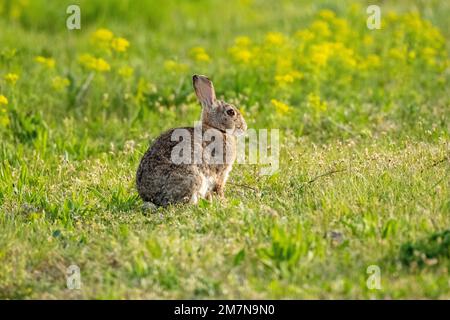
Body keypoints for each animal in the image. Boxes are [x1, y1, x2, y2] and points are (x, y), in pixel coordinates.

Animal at [135, 74, 248, 206]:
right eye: (231, 112)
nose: (244, 127)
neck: (217, 128)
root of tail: (151, 198)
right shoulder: (220, 173)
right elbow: (218, 188)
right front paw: (224, 201)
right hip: (194, 177)